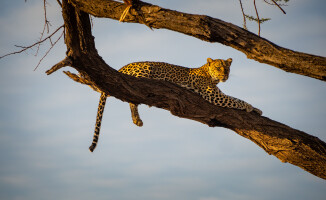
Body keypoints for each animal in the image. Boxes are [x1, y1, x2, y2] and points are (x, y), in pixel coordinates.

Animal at [87, 57, 262, 152]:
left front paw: (256, 109)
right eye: (218, 67)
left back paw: (137, 120)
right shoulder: (212, 95)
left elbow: (233, 97)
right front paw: (250, 107)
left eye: (227, 68)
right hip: (146, 69)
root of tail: (123, 67)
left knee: (131, 98)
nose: (224, 75)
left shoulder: (216, 94)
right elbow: (234, 100)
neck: (209, 74)